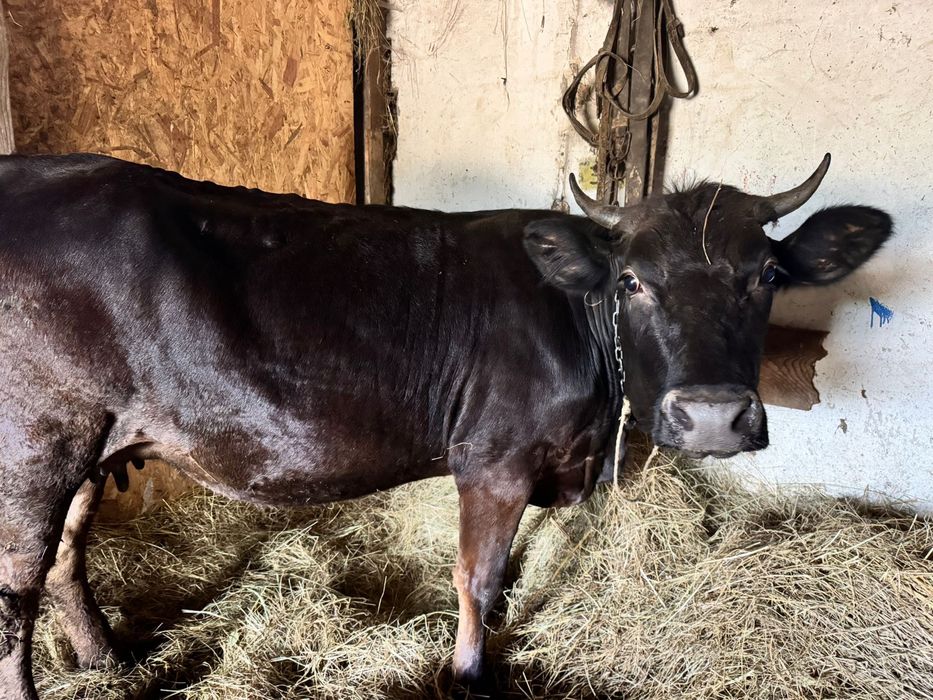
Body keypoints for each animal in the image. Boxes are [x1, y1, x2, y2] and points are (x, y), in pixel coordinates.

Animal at [0, 152, 890, 698]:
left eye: (767, 274)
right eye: (631, 280)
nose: (710, 417)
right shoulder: (492, 460)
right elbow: (479, 578)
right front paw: (468, 675)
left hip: (92, 440)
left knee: (66, 558)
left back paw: (108, 660)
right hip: (37, 443)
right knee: (17, 593)